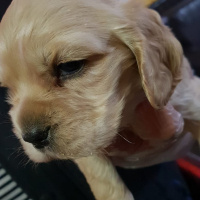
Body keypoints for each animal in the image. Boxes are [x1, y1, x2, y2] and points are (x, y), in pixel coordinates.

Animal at [0, 0, 199, 200]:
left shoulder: (187, 97)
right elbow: (104, 181)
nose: (32, 137)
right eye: (8, 88)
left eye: (70, 66)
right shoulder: (87, 146)